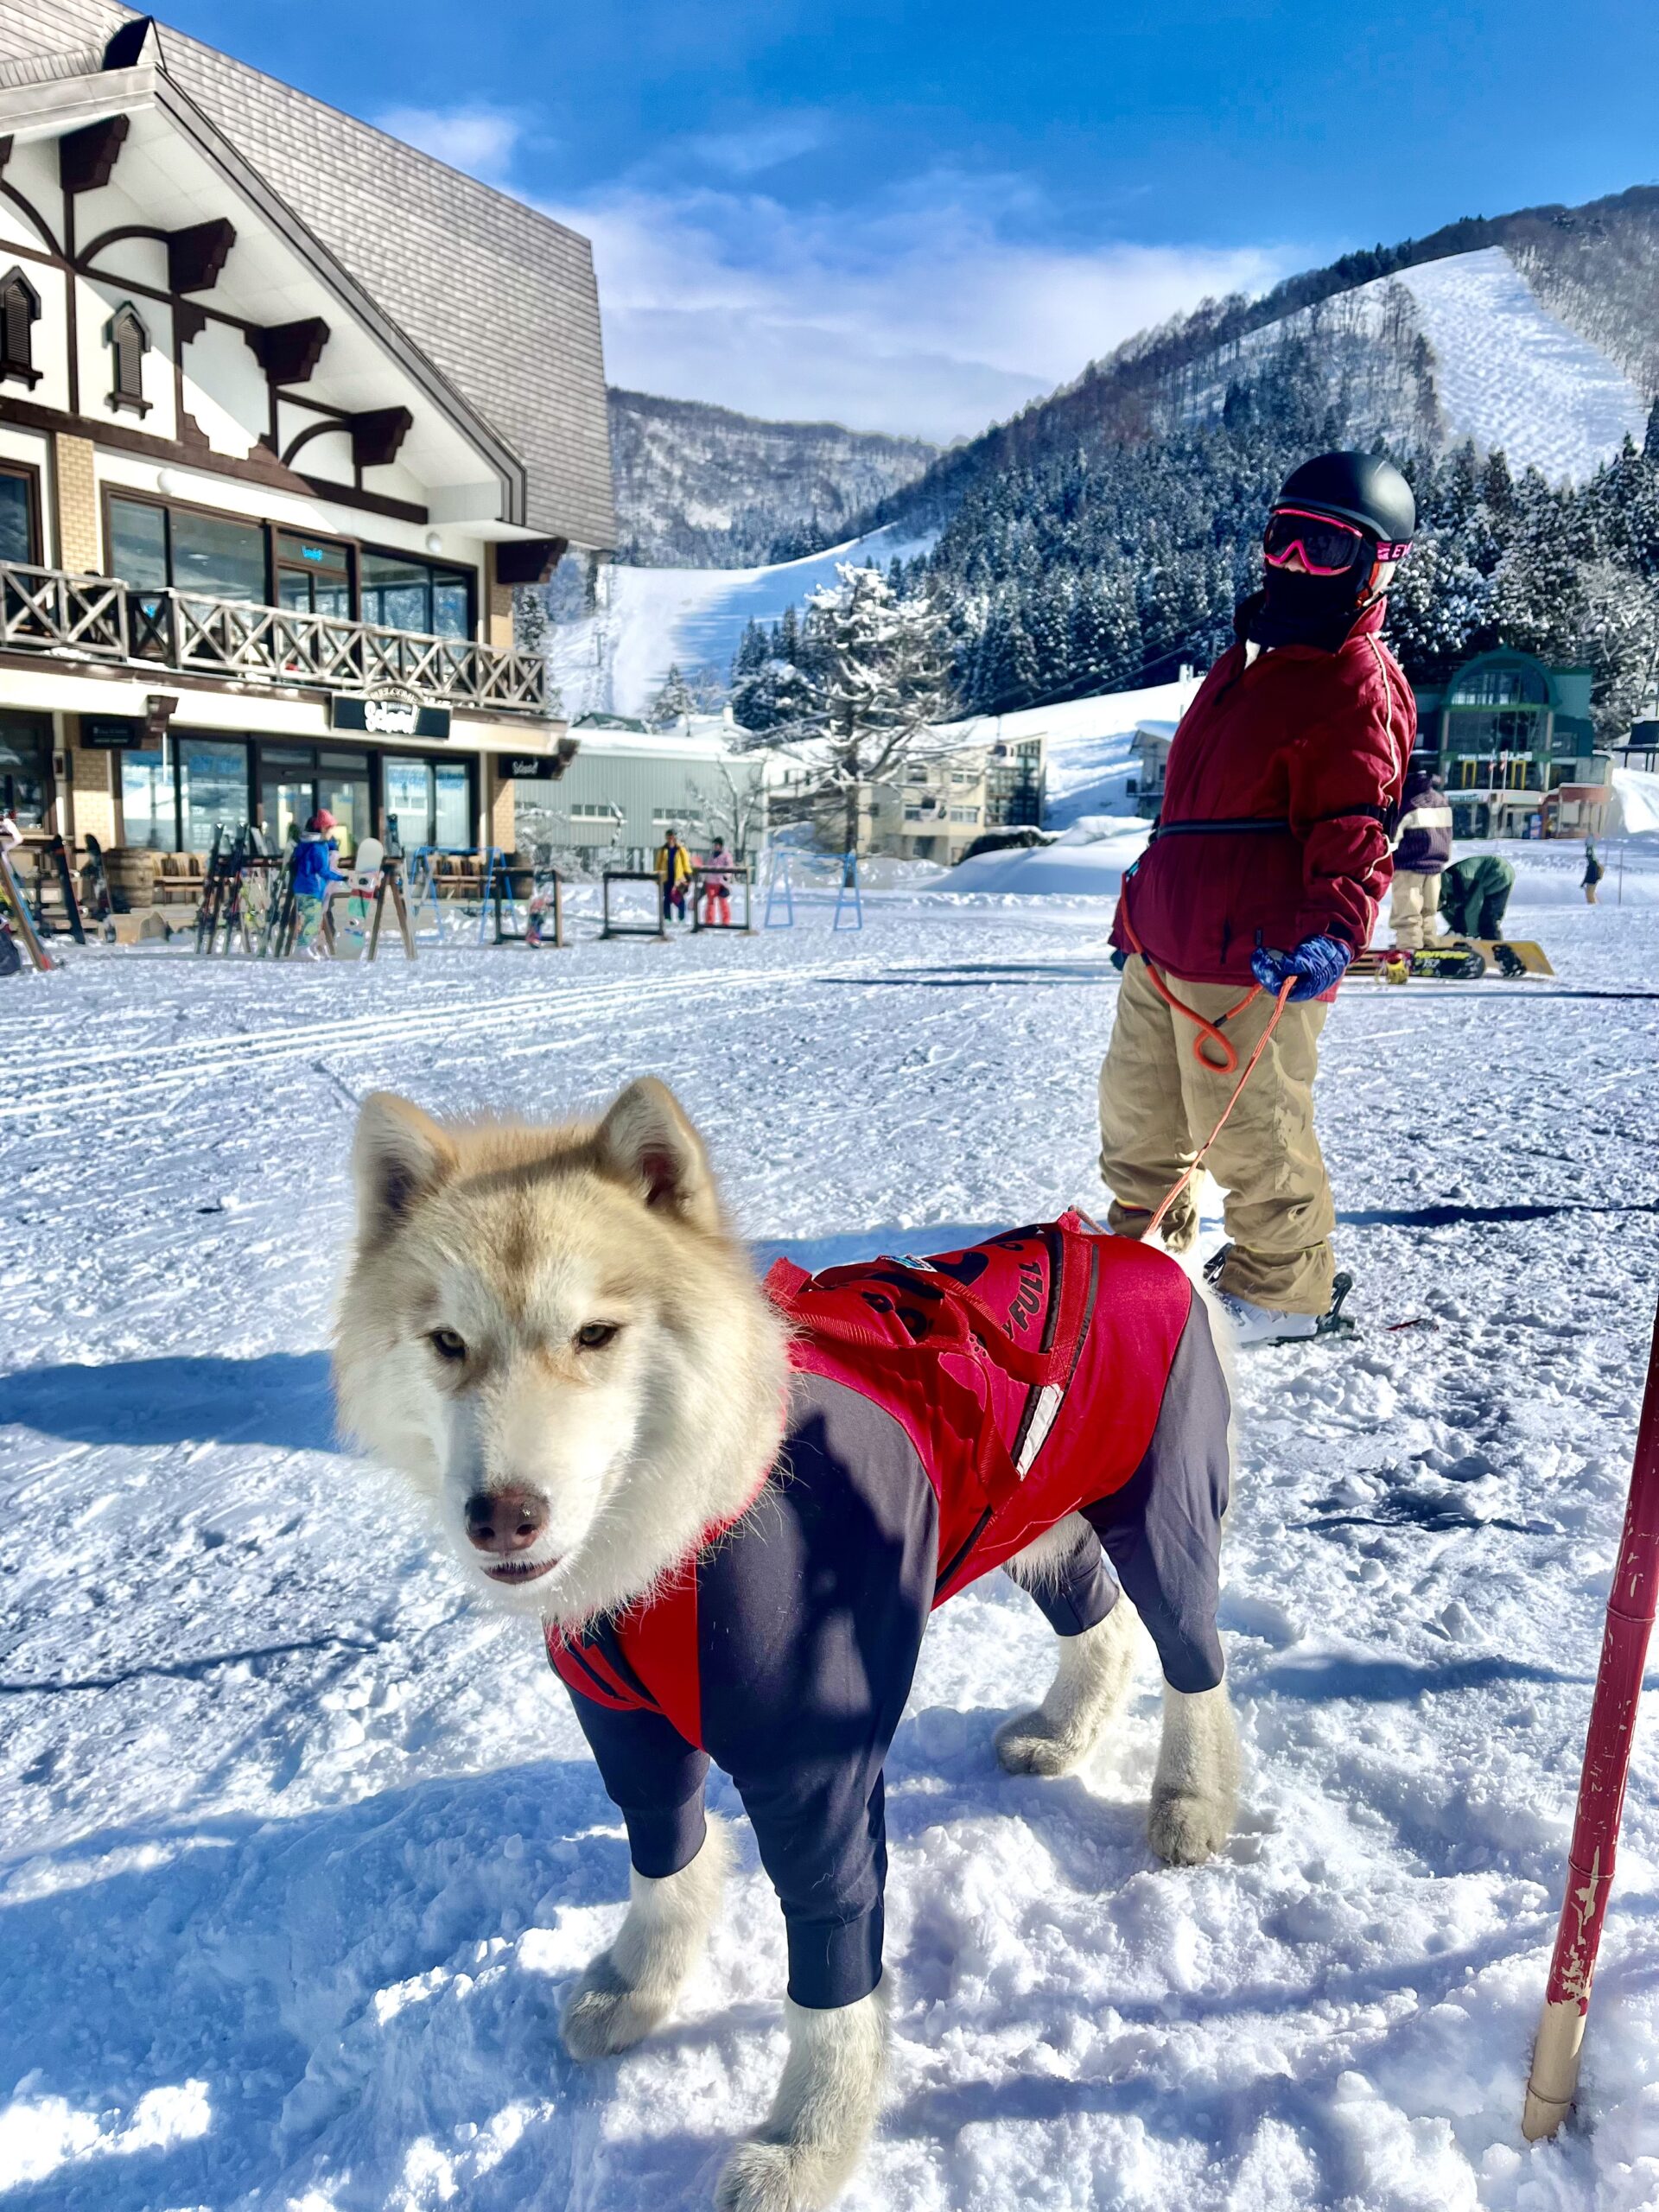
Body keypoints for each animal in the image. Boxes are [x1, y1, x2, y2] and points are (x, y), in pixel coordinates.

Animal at [338, 1079, 1238, 2202]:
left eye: (596, 1332)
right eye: (447, 1343)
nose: (500, 1516)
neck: (681, 1538)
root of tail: (1149, 1251)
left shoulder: (818, 1769)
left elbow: (832, 1975)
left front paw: (808, 2141)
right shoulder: (629, 1731)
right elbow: (665, 1864)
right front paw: (638, 1985)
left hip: (1162, 1515)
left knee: (1195, 1663)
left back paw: (1191, 1800)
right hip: (1037, 1520)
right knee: (1102, 1629)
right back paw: (1062, 1734)